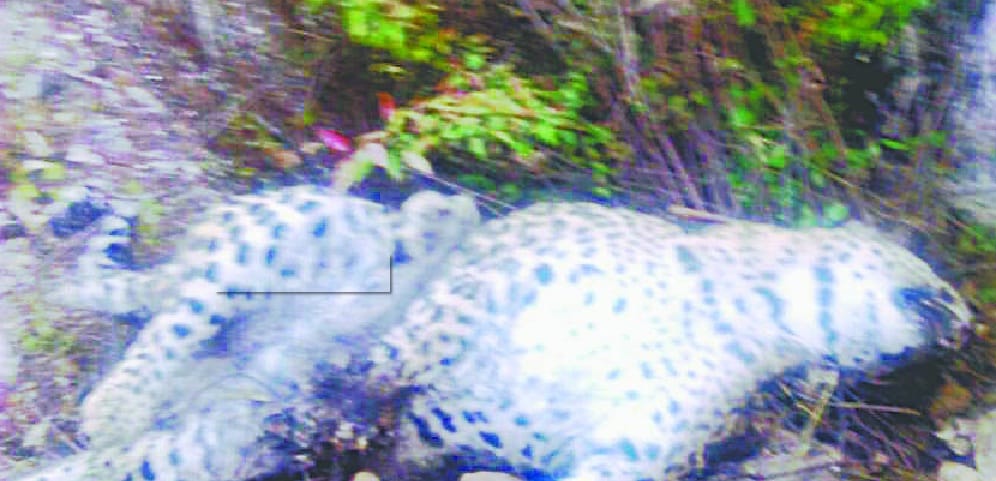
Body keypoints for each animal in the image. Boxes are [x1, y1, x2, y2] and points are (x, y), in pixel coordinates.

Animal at [14, 188, 971, 481]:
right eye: (937, 281)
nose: (967, 320)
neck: (753, 313)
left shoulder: (629, 449)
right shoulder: (509, 258)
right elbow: (419, 335)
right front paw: (356, 404)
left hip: (201, 444)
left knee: (108, 460)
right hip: (309, 225)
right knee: (173, 311)